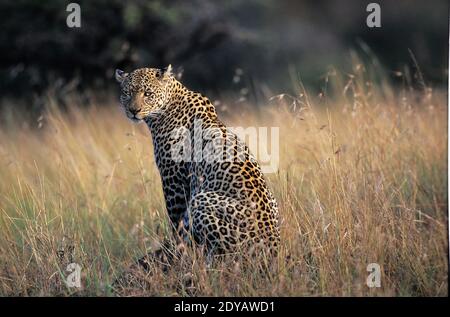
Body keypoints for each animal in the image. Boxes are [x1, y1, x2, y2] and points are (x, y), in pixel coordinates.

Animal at [114, 65, 280, 260]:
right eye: (127, 93)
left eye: (147, 93)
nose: (133, 110)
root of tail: (274, 245)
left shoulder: (173, 180)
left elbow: (175, 221)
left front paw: (175, 249)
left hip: (202, 200)